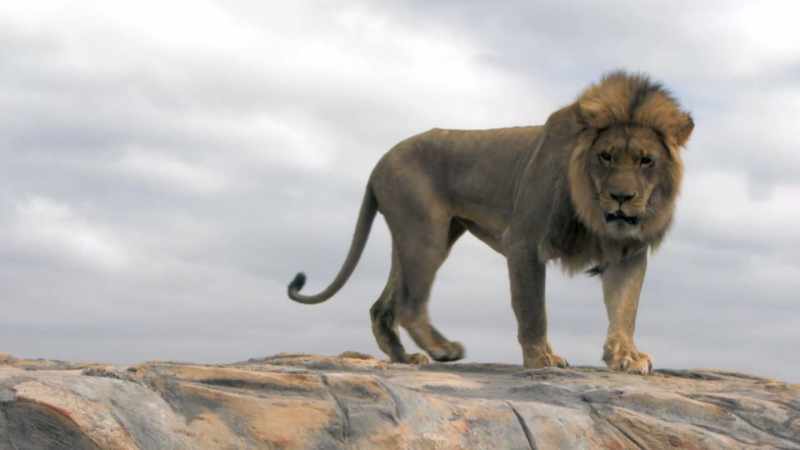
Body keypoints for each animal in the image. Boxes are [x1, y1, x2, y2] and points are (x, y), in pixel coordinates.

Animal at [287, 71, 694, 374]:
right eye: (606, 157)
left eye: (645, 160)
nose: (622, 197)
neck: (593, 209)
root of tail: (379, 162)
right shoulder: (524, 242)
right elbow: (532, 309)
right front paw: (541, 359)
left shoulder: (628, 253)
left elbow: (624, 310)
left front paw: (626, 357)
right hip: (426, 233)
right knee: (409, 304)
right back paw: (443, 349)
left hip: (421, 237)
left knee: (383, 306)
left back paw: (407, 358)